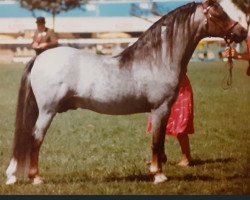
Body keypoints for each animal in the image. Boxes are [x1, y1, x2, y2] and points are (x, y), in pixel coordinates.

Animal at [5, 0, 246, 184]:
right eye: (218, 13)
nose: (242, 32)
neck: (157, 59)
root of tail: (39, 58)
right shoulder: (161, 109)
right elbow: (157, 141)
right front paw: (159, 175)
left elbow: (159, 142)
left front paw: (156, 170)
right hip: (47, 111)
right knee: (36, 138)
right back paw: (36, 178)